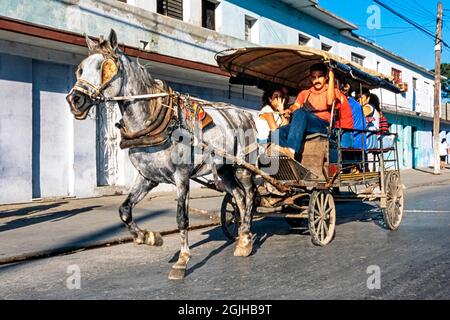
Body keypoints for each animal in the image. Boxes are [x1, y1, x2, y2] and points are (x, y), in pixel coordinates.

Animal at [65, 30, 258, 280]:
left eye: (104, 68)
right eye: (80, 69)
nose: (75, 100)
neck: (155, 121)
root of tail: (243, 113)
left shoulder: (182, 176)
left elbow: (182, 218)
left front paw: (182, 260)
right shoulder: (147, 177)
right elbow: (124, 210)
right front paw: (148, 237)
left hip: (243, 166)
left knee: (250, 195)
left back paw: (246, 237)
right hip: (224, 169)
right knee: (238, 196)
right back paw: (242, 238)